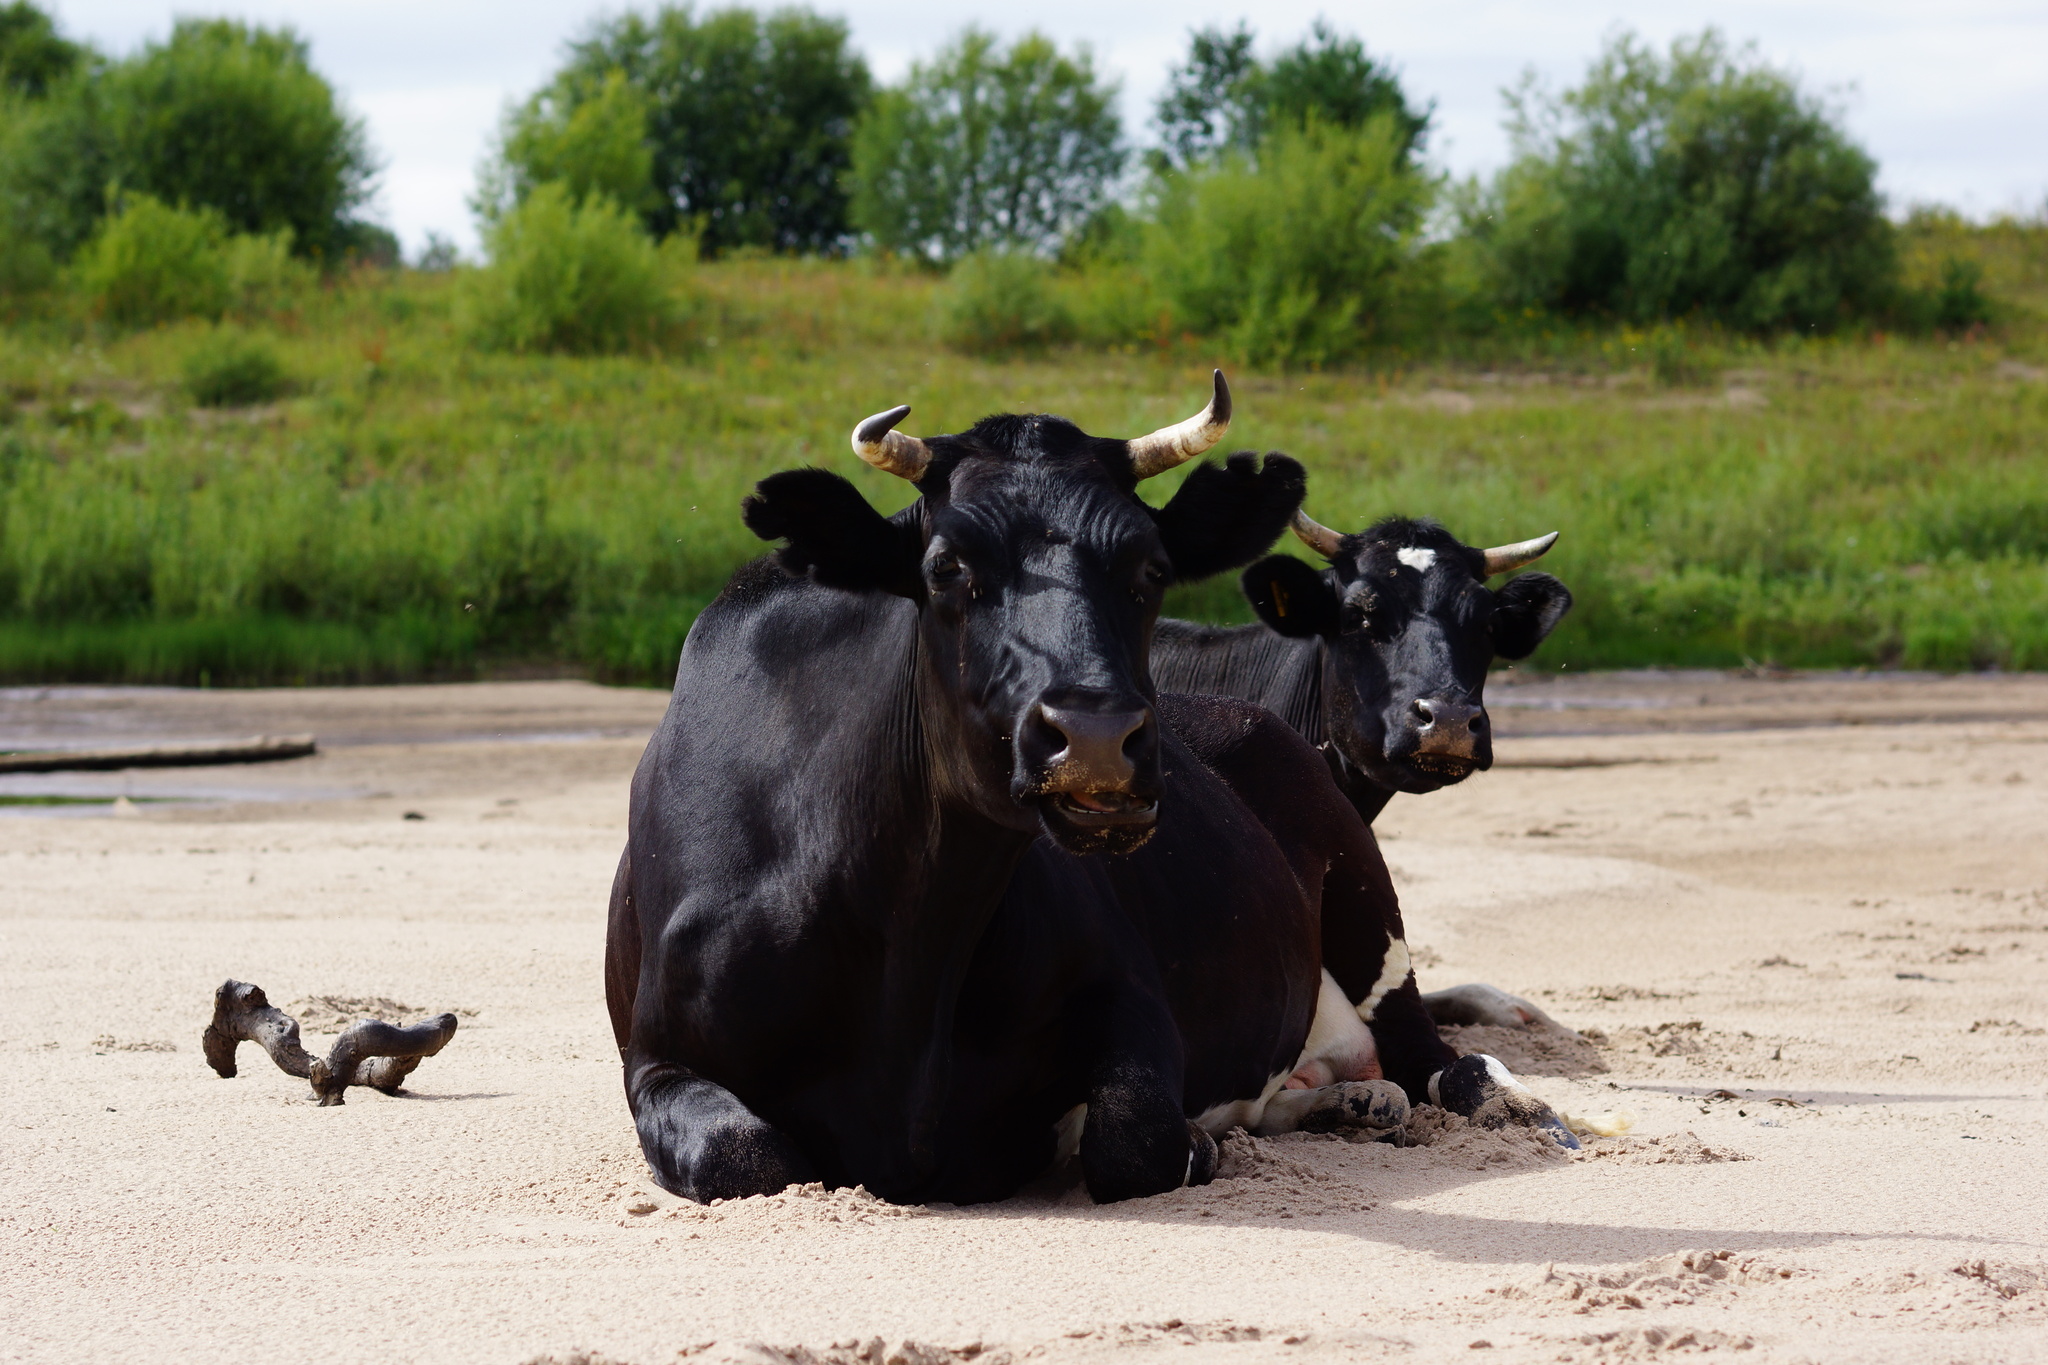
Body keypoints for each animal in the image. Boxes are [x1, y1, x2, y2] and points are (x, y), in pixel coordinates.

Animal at [606, 376, 1458, 1203]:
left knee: (1439, 1062)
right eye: (947, 567)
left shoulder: (1130, 989)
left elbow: (1134, 1135)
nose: (1096, 735)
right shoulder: (658, 1058)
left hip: (1365, 894)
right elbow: (745, 1155)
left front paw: (1185, 1140)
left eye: (1151, 569)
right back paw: (1352, 1102)